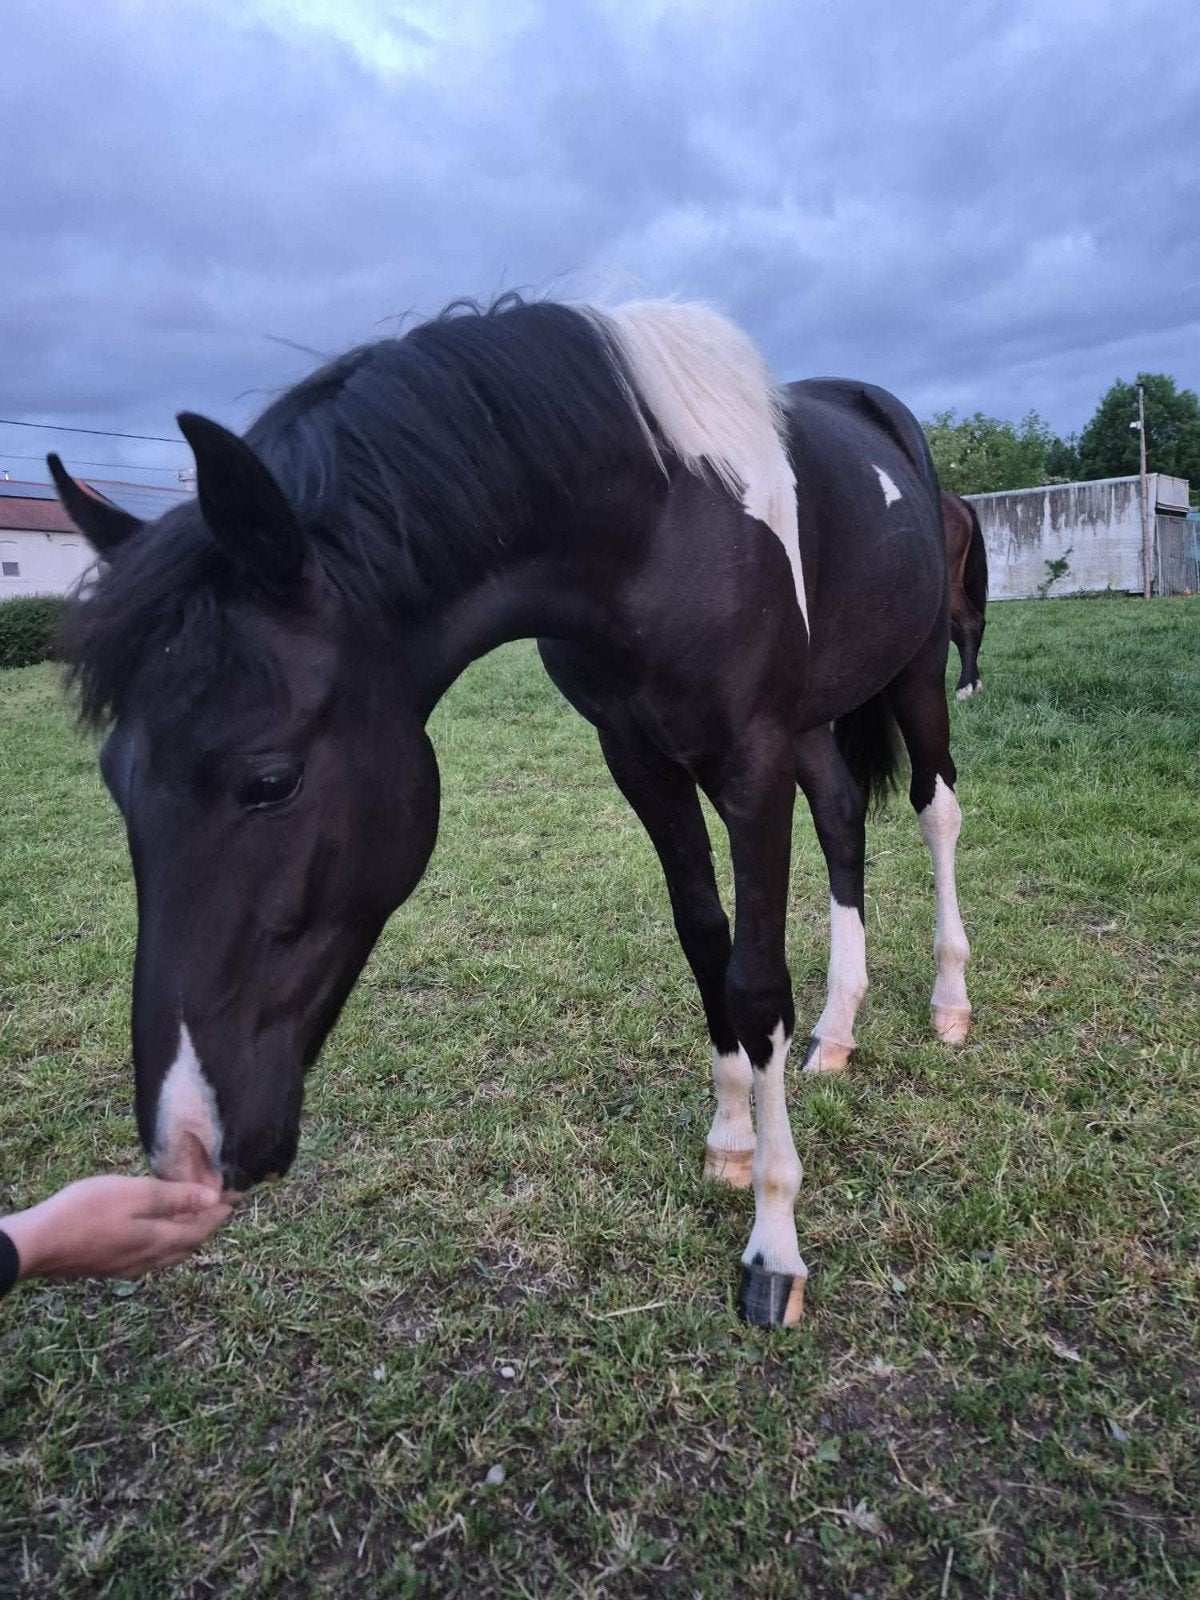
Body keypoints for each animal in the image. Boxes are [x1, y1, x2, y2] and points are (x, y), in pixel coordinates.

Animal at [50, 296, 971, 1327]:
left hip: (916, 669)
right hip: (815, 721)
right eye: (116, 780)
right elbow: (705, 938)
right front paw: (731, 1136)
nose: (189, 1148)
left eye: (272, 780)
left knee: (936, 810)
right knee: (845, 817)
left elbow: (756, 982)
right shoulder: (639, 759)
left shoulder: (752, 763)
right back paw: (839, 1028)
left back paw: (950, 1002)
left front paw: (774, 1245)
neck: (666, 524)